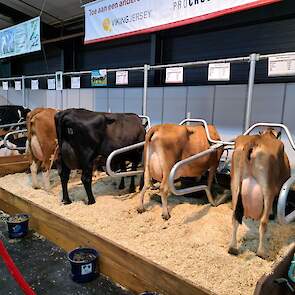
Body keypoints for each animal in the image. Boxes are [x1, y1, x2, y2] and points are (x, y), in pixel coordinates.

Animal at [229, 130, 292, 260]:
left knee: (234, 216)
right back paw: (262, 252)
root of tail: (254, 141)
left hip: (235, 184)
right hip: (268, 189)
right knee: (263, 222)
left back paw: (233, 248)